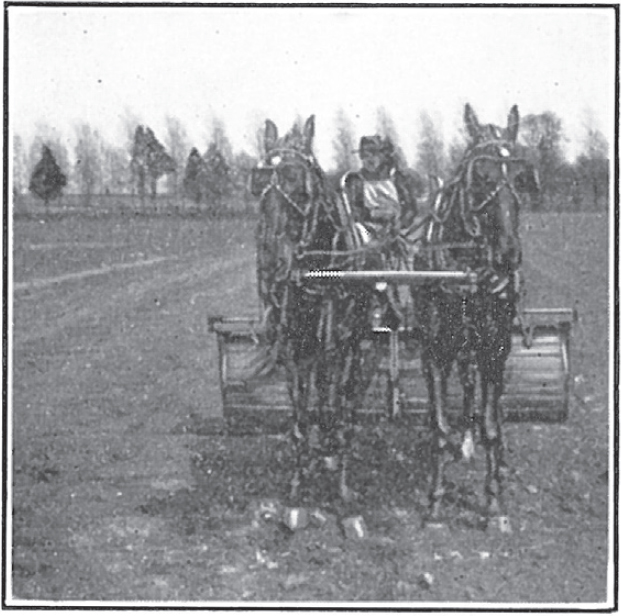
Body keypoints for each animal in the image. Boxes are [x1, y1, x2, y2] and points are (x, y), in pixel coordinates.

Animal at [249, 114, 376, 506]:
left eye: (300, 185)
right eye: (257, 185)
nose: (271, 263)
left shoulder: (340, 347)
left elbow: (335, 403)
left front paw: (341, 482)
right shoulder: (295, 349)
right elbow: (301, 413)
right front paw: (297, 482)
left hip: (360, 345)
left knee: (346, 397)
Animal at [412, 103, 532, 528]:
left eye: (521, 176)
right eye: (480, 176)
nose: (509, 254)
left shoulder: (495, 349)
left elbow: (493, 425)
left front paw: (494, 503)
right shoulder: (434, 352)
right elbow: (437, 424)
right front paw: (434, 502)